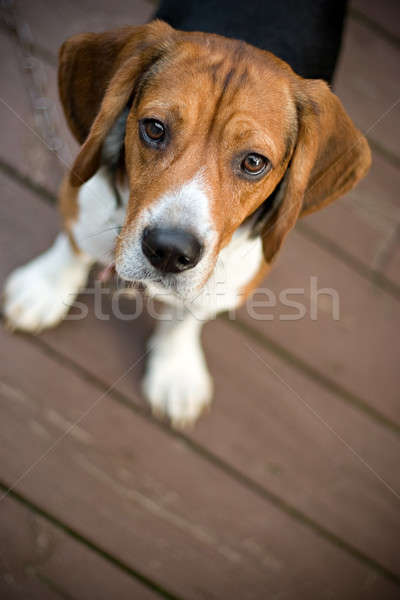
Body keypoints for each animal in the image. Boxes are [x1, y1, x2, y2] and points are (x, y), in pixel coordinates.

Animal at [3, 2, 372, 428]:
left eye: (253, 162)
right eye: (154, 128)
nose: (168, 250)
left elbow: (187, 317)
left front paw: (175, 371)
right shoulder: (88, 192)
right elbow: (76, 244)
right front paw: (45, 287)